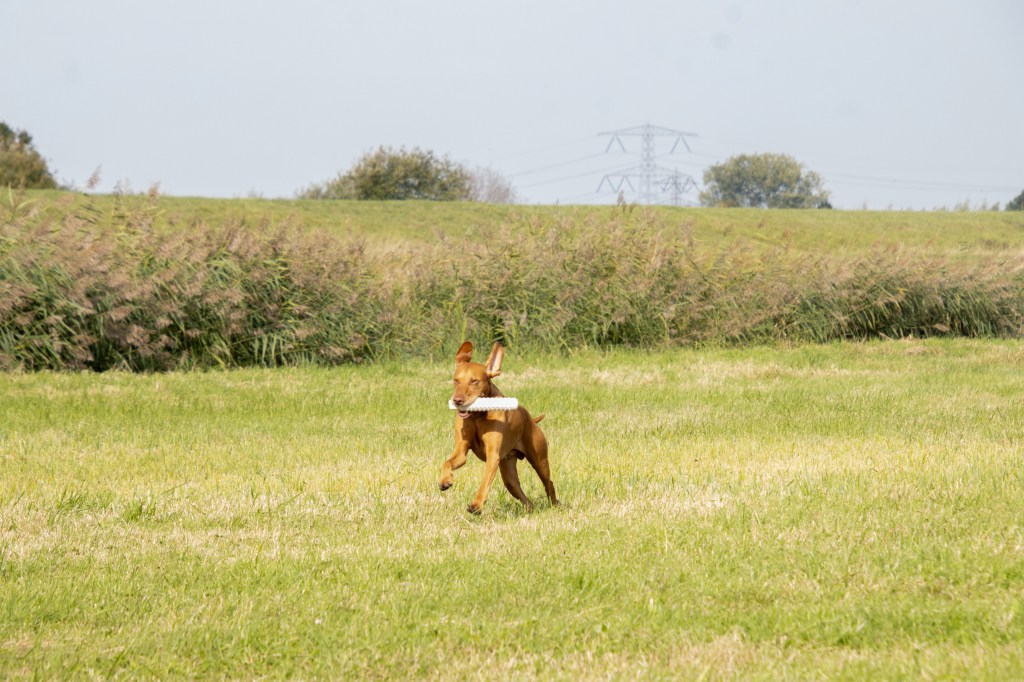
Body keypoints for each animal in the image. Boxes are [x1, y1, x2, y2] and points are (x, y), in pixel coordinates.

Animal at [438, 341, 558, 514]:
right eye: (456, 380)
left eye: (474, 381)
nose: (457, 400)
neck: (478, 416)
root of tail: (531, 419)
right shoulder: (461, 451)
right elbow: (447, 462)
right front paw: (445, 480)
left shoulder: (492, 456)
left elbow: (484, 483)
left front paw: (476, 505)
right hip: (509, 476)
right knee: (523, 496)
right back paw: (530, 509)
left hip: (540, 462)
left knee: (549, 483)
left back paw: (556, 505)